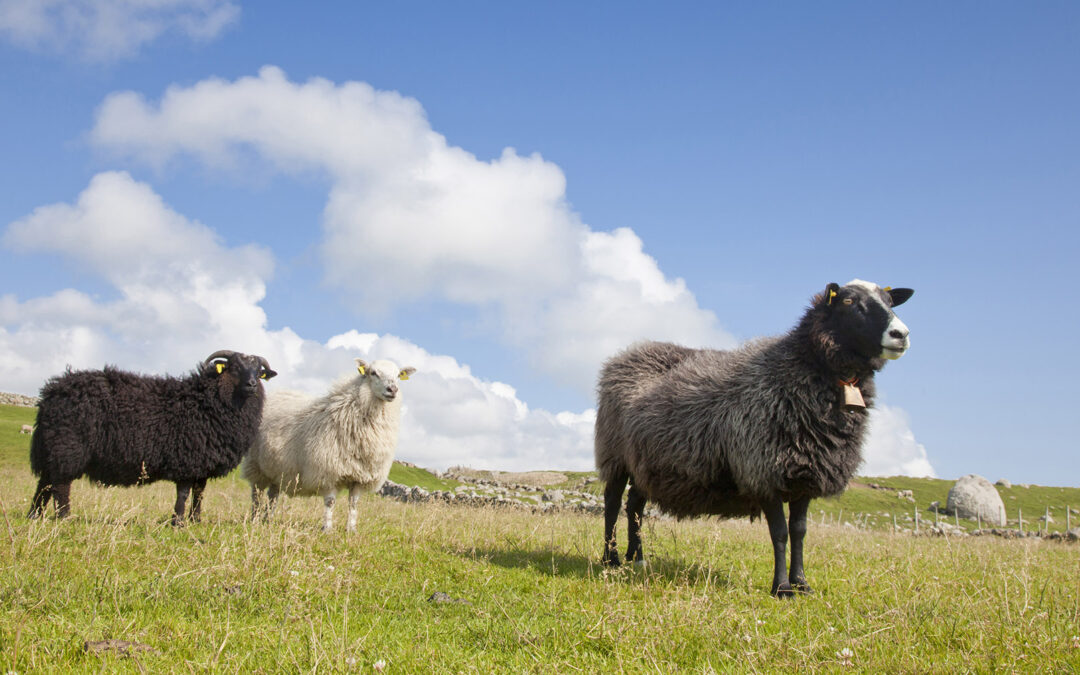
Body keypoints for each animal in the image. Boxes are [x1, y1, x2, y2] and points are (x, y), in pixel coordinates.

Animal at [27, 350, 277, 525]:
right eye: (234, 368)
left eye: (258, 371)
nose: (251, 384)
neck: (206, 401)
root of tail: (51, 392)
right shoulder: (187, 460)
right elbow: (183, 494)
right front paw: (178, 522)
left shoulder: (202, 464)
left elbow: (199, 494)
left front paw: (196, 520)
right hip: (67, 448)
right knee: (60, 486)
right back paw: (64, 517)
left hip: (53, 449)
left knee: (44, 485)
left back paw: (34, 516)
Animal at [243, 358, 416, 532]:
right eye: (373, 373)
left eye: (398, 375)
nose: (392, 389)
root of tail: (276, 393)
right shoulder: (328, 470)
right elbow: (330, 502)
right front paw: (327, 528)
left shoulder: (360, 477)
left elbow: (354, 503)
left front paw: (351, 529)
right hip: (256, 466)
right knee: (256, 494)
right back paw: (254, 519)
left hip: (277, 470)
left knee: (273, 495)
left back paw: (268, 519)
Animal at [595, 280, 914, 596]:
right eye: (848, 301)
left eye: (890, 302)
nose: (901, 335)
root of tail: (628, 352)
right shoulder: (762, 469)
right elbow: (780, 533)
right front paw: (782, 587)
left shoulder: (806, 473)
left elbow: (799, 531)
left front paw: (802, 583)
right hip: (614, 453)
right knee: (612, 502)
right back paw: (611, 557)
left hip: (644, 461)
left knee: (635, 504)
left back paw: (637, 557)